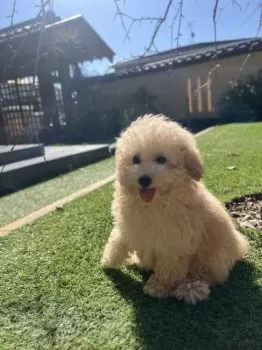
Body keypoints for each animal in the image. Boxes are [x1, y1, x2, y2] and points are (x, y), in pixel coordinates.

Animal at [101, 114, 249, 304]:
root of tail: (239, 246)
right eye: (135, 159)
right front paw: (108, 260)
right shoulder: (128, 225)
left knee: (207, 275)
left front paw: (159, 287)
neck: (153, 203)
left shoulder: (174, 242)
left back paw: (191, 288)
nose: (144, 179)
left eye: (161, 160)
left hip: (213, 256)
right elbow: (118, 240)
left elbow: (169, 267)